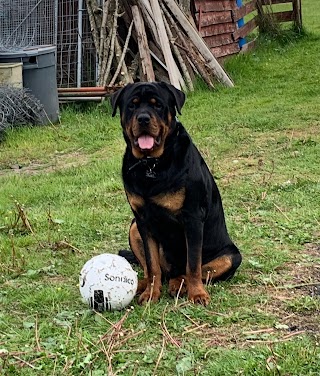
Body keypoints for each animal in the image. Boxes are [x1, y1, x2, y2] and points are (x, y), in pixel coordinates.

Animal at [111, 82, 241, 306]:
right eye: (132, 105)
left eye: (158, 105)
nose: (143, 118)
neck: (152, 165)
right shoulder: (142, 220)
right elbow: (152, 265)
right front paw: (151, 294)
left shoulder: (192, 217)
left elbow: (193, 264)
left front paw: (197, 294)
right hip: (134, 227)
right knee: (156, 270)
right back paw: (145, 284)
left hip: (231, 256)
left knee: (192, 270)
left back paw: (179, 284)